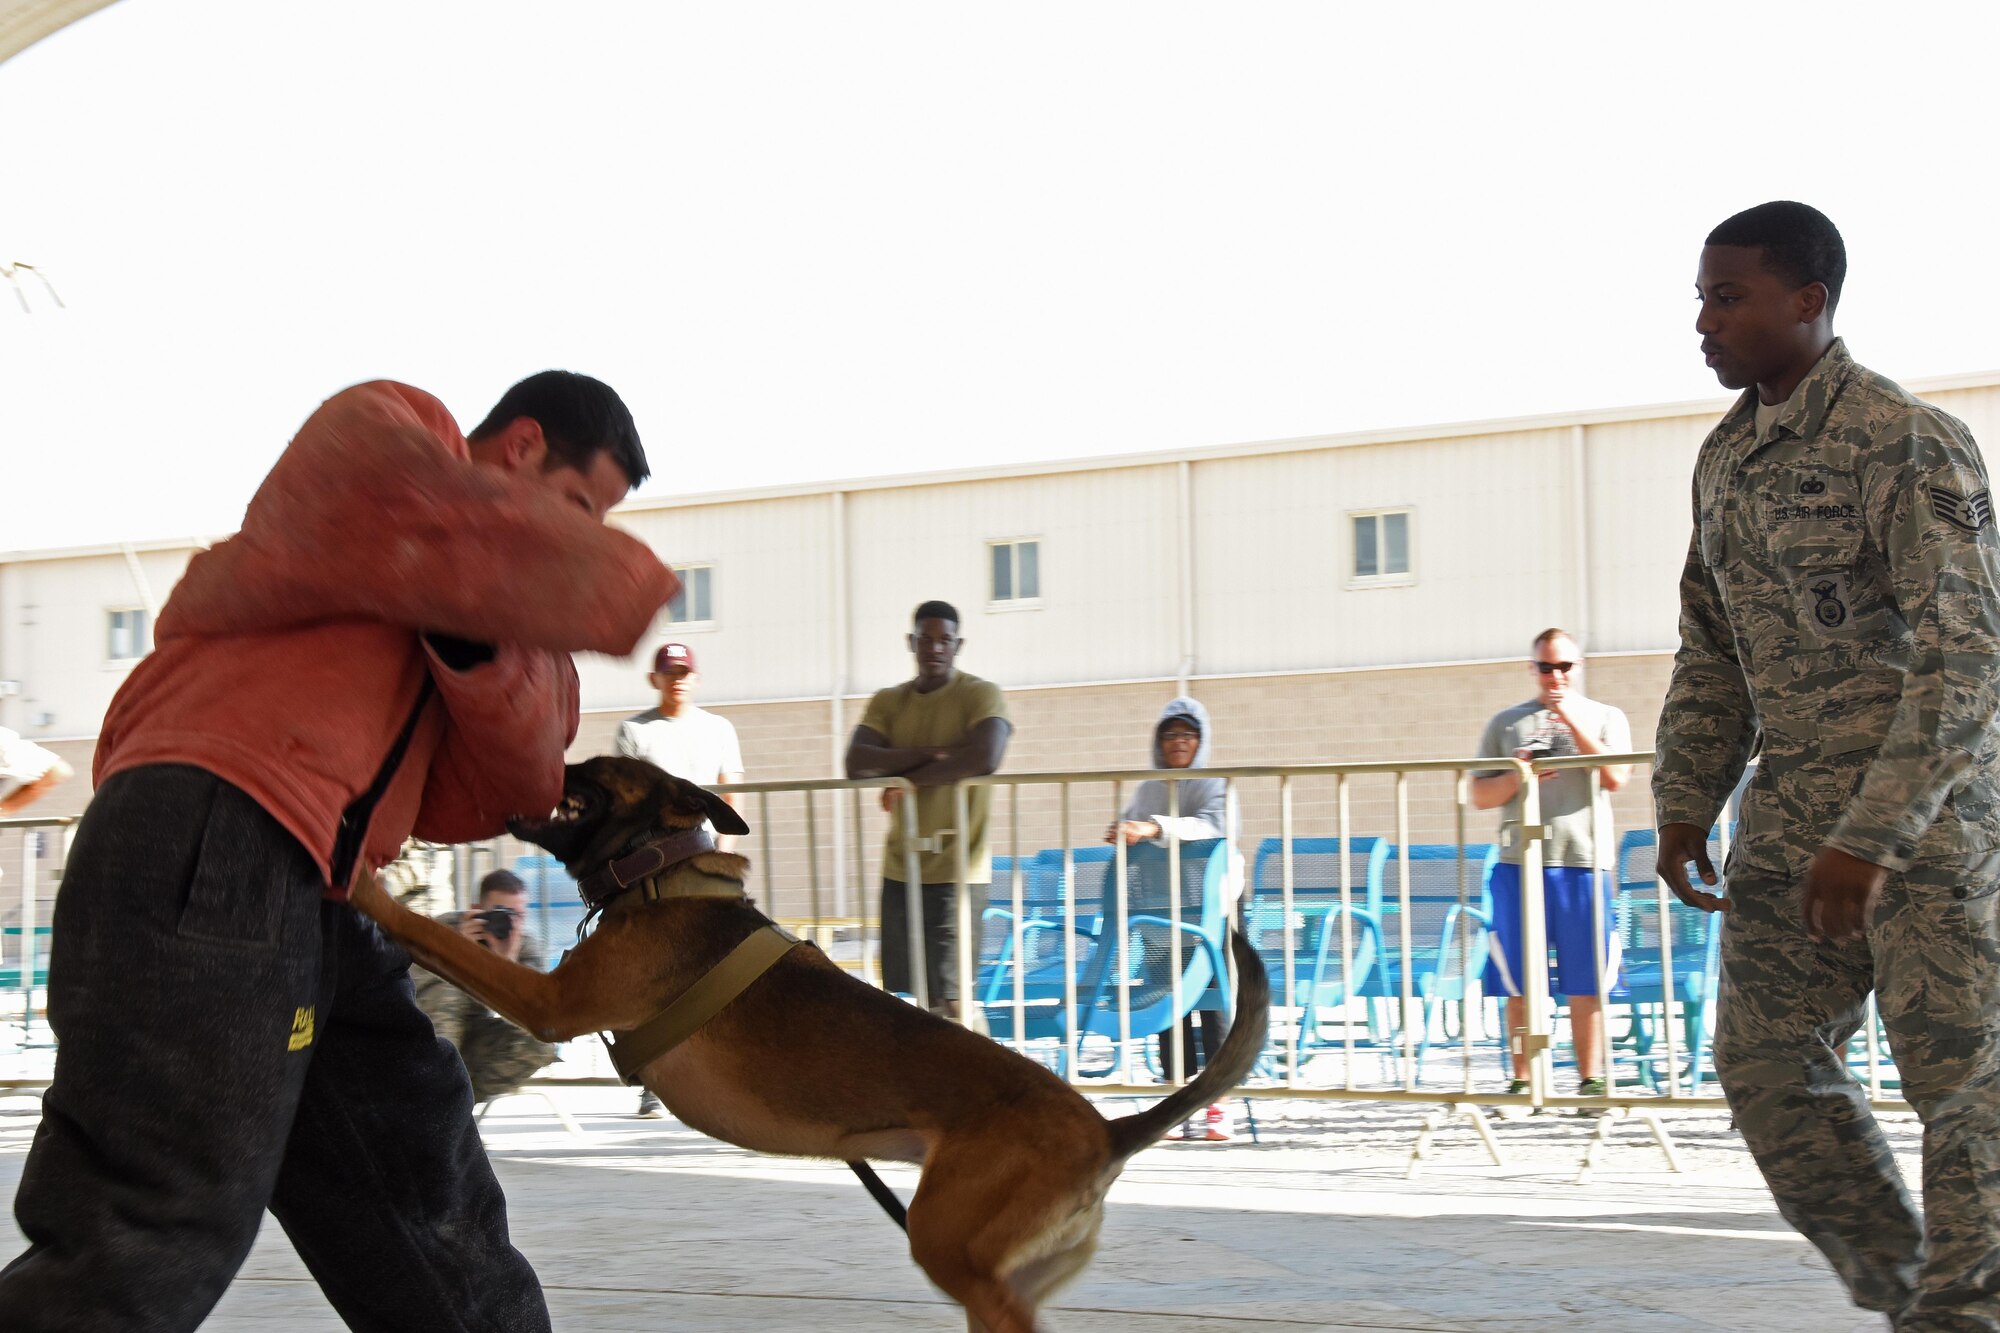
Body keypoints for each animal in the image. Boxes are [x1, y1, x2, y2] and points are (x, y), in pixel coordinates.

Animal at [354, 752, 1272, 1320]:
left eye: (590, 767)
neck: (657, 871)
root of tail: (1107, 1131)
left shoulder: (547, 999)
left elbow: (429, 930)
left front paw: (366, 880)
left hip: (952, 1247)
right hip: (1002, 1266)